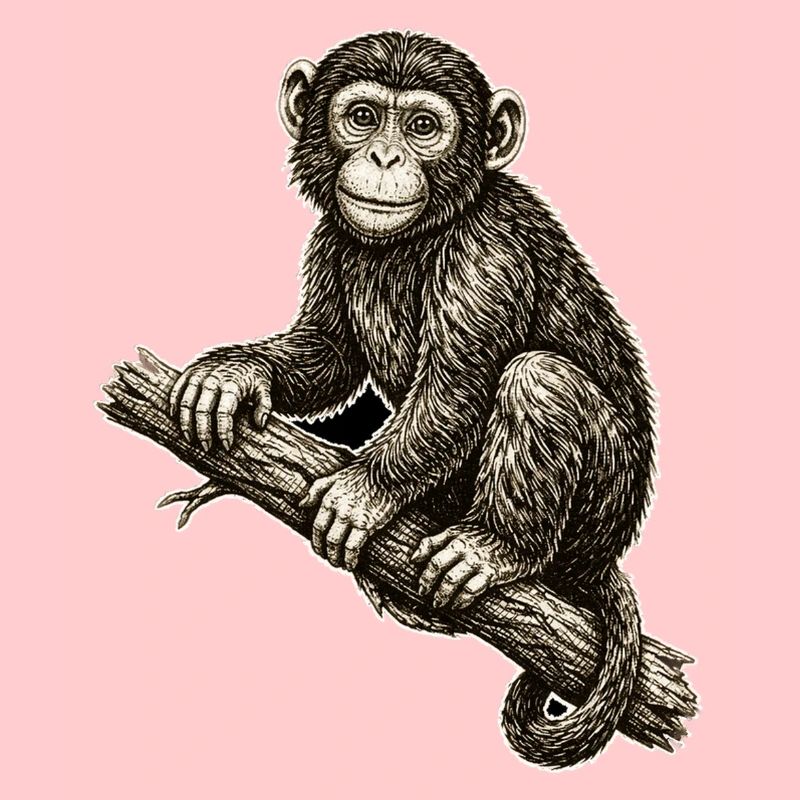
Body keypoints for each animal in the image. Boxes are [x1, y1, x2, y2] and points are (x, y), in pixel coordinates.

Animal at [169, 32, 656, 769]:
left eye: (424, 126)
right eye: (363, 117)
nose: (385, 156)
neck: (418, 236)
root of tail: (601, 559)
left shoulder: (490, 254)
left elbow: (454, 388)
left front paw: (363, 490)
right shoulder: (331, 238)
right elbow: (329, 353)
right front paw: (235, 372)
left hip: (598, 512)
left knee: (539, 378)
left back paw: (498, 548)